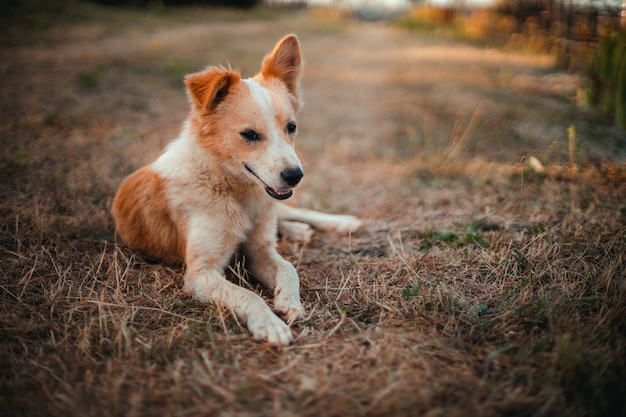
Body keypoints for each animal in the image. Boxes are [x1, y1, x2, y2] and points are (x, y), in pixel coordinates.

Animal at [109, 35, 358, 344]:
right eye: (249, 135)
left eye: (291, 127)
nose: (295, 176)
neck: (233, 191)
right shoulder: (201, 274)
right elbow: (248, 295)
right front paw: (270, 324)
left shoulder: (259, 248)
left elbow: (289, 269)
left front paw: (289, 302)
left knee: (290, 212)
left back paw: (340, 223)